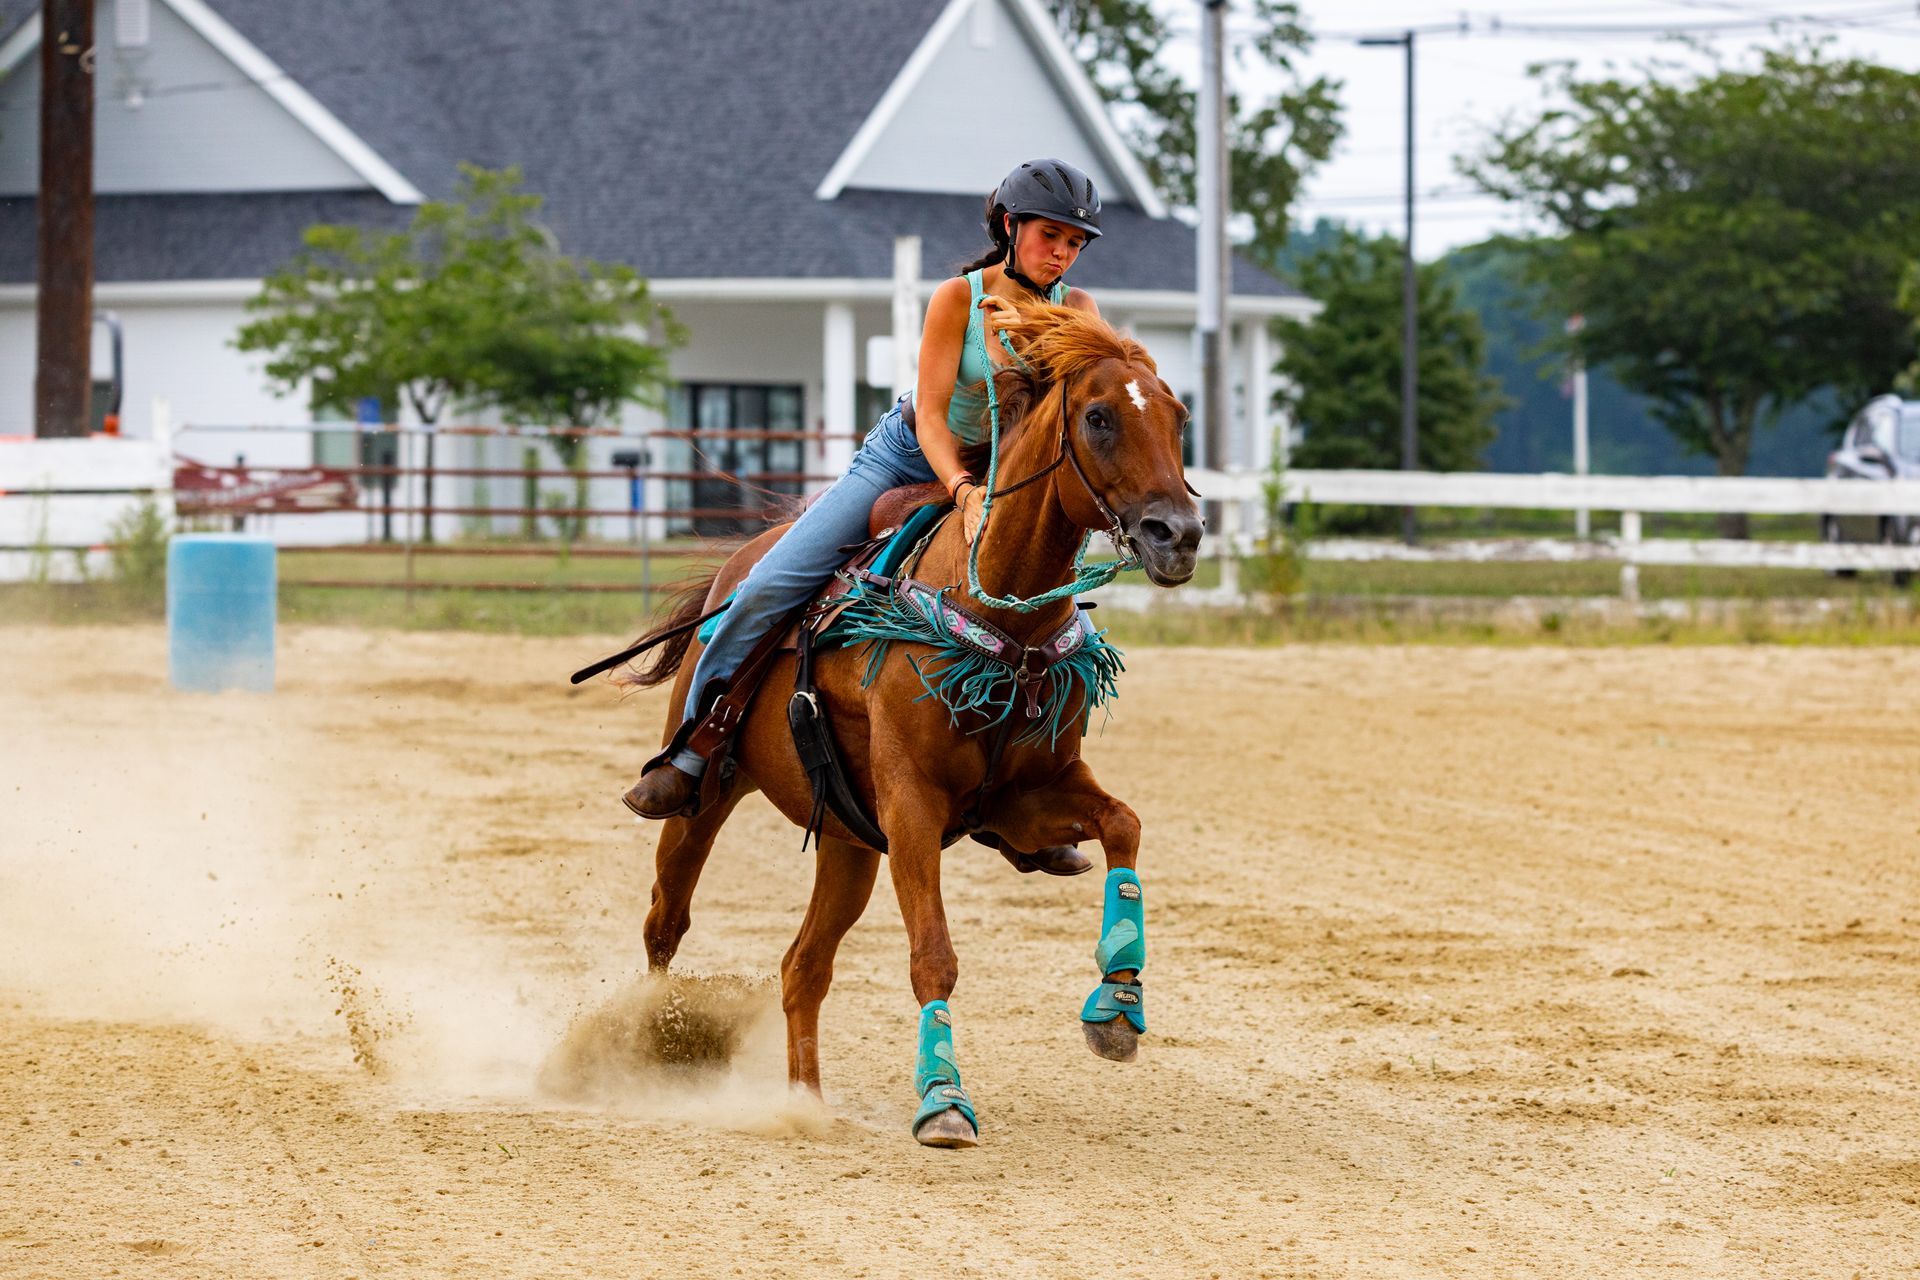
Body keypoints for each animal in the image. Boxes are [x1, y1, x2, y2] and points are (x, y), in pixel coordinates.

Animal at [613, 302, 1203, 1147]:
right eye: (1098, 417)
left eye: (1179, 417)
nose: (1178, 534)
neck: (1001, 614)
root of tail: (741, 562)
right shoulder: (913, 805)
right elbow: (933, 956)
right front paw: (943, 1100)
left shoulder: (1029, 798)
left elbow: (1124, 823)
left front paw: (1118, 1004)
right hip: (709, 796)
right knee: (667, 918)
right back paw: (652, 1041)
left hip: (849, 844)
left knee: (802, 968)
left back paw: (806, 1105)